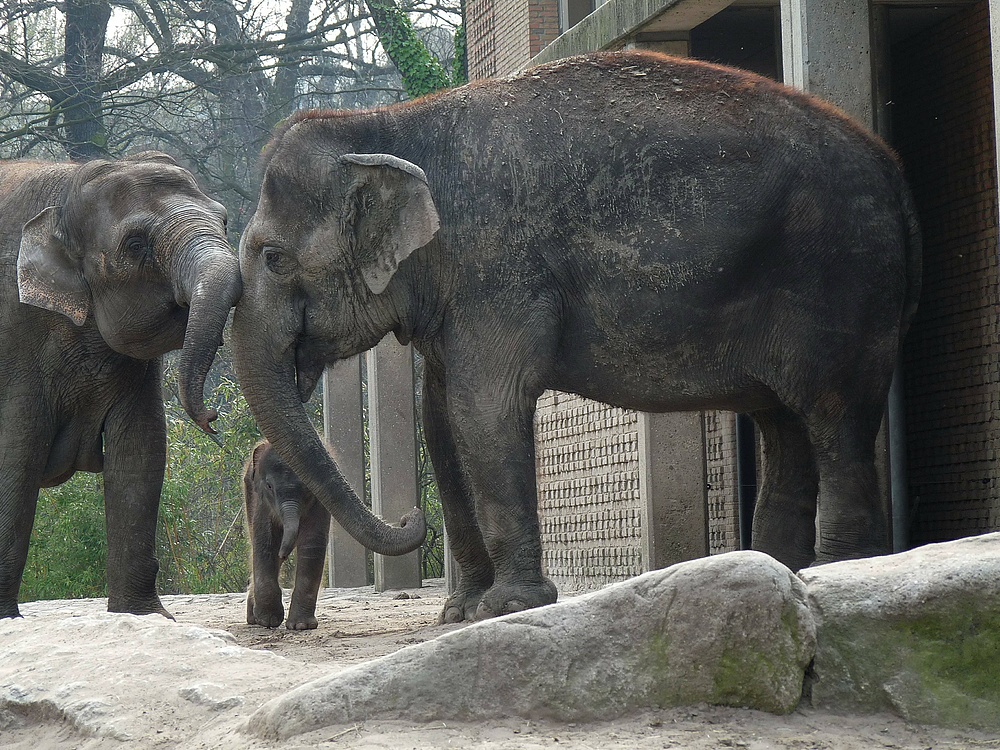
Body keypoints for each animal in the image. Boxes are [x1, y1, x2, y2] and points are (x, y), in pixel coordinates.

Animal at [0, 150, 242, 620]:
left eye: (223, 221)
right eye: (135, 245)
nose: (212, 417)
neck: (69, 184)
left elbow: (141, 449)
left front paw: (145, 617)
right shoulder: (15, 343)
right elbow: (16, 457)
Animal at [242, 438, 332, 632]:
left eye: (308, 487)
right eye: (269, 486)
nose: (283, 554)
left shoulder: (320, 502)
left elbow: (312, 544)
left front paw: (301, 626)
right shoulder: (261, 501)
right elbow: (266, 542)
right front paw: (268, 621)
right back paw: (254, 618)